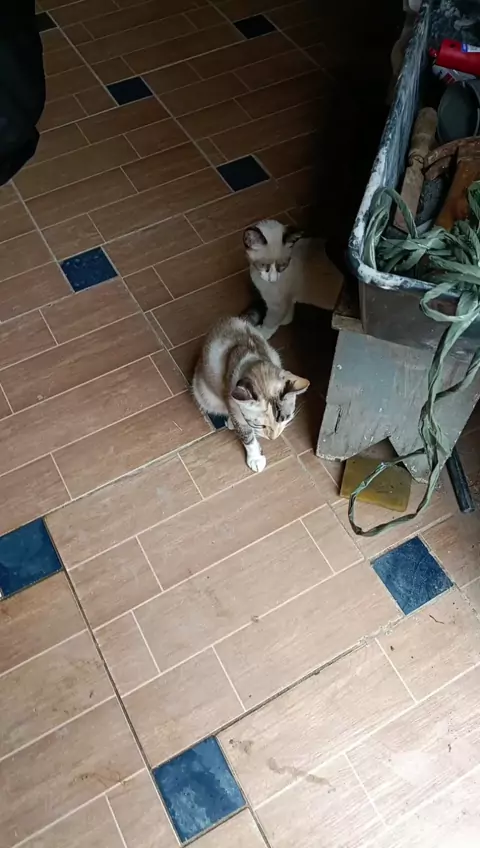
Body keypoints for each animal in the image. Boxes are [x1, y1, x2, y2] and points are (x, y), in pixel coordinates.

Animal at [192, 316, 309, 473]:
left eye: (285, 418)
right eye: (261, 425)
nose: (273, 438)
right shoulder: (234, 406)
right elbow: (247, 437)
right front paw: (255, 458)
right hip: (204, 395)